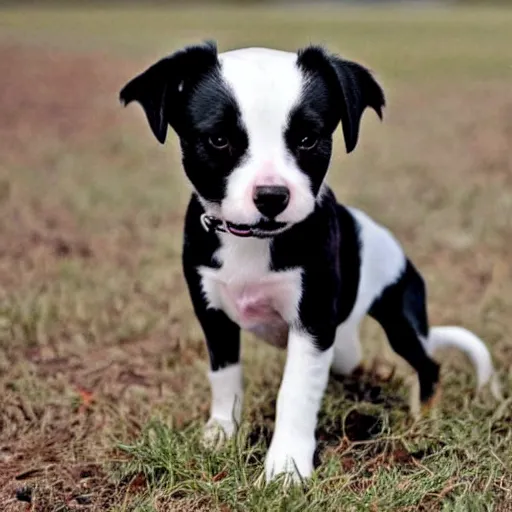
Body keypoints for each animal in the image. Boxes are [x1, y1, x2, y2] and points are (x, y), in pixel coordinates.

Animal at [121, 42, 500, 482]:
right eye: (218, 139)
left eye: (307, 139)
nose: (271, 196)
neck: (252, 242)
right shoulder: (213, 315)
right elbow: (224, 375)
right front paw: (222, 432)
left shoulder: (313, 325)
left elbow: (295, 393)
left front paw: (286, 467)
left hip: (400, 320)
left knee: (429, 364)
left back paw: (424, 416)